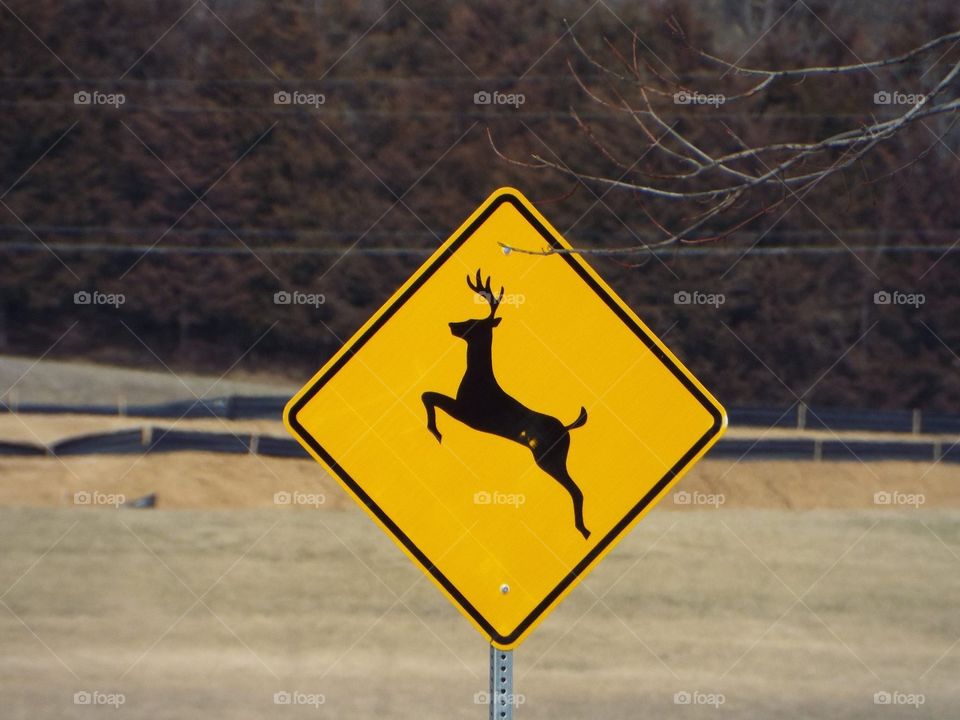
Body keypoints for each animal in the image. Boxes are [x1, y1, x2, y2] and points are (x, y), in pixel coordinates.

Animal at [422, 270, 591, 540]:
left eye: (474, 321)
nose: (452, 325)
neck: (478, 378)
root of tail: (567, 428)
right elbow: (428, 395)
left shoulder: (467, 411)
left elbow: (428, 395)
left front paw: (436, 432)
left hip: (550, 457)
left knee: (576, 489)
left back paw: (583, 530)